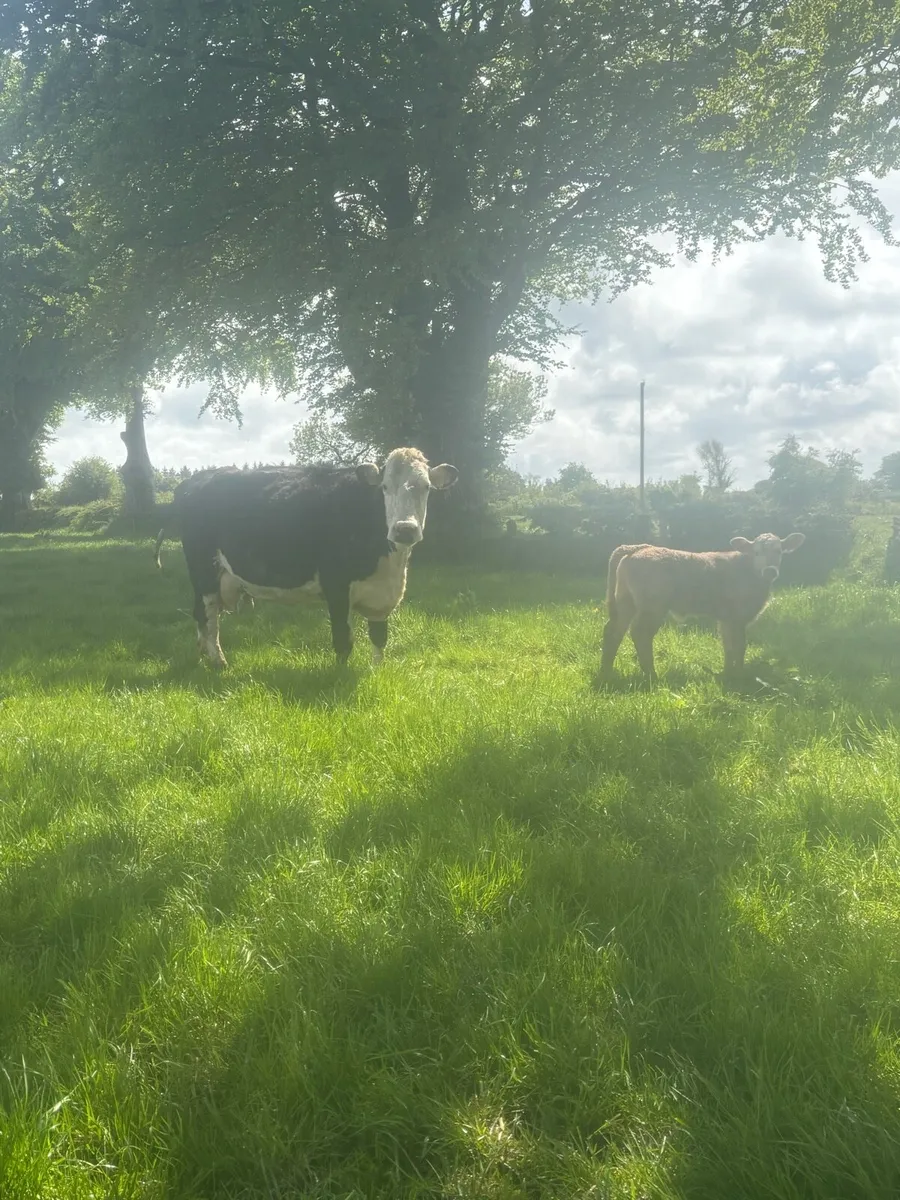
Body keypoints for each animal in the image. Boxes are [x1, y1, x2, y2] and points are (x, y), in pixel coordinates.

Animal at [172, 447, 458, 668]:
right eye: (385, 487)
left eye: (426, 487)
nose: (405, 529)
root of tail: (195, 480)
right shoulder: (336, 586)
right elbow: (343, 640)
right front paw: (340, 674)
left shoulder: (381, 596)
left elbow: (379, 638)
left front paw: (377, 671)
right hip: (203, 569)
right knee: (210, 617)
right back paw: (219, 661)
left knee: (200, 614)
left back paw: (203, 655)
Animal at [599, 532, 806, 681]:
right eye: (756, 552)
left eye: (779, 551)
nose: (770, 571)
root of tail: (635, 549)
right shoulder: (737, 617)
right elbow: (739, 645)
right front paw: (739, 675)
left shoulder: (726, 619)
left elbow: (728, 645)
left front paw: (727, 673)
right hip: (653, 606)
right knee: (640, 633)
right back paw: (651, 675)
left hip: (625, 602)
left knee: (613, 631)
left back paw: (606, 671)